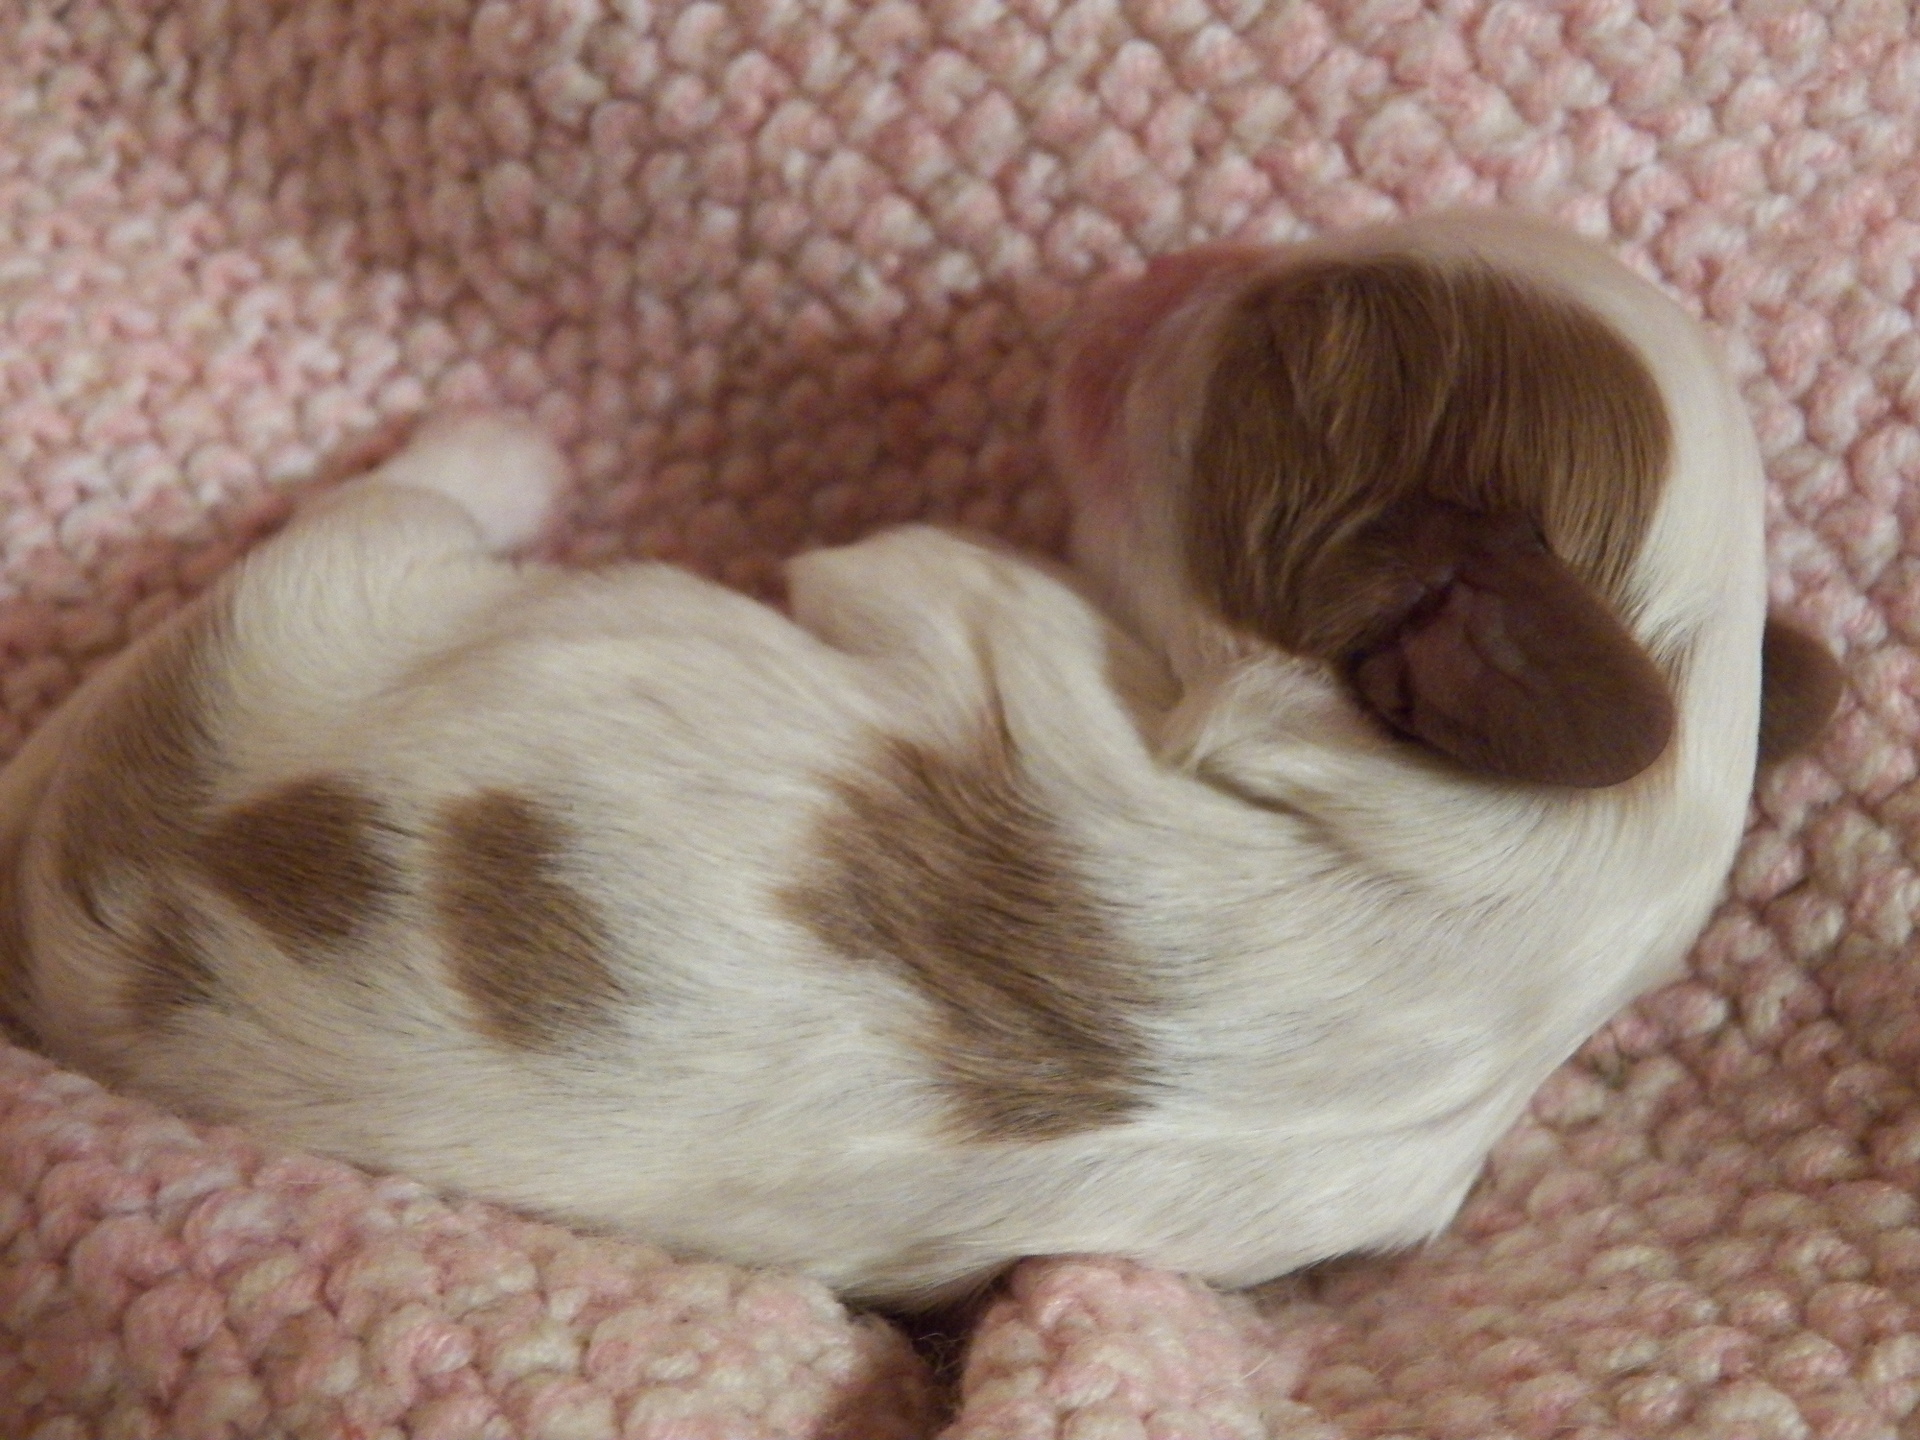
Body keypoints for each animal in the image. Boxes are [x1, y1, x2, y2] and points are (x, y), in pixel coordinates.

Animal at [0, 213, 1838, 1306]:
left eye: (1292, 338)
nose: (1178, 248)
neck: (1527, 861)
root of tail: (93, 880)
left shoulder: (954, 592)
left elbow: (883, 565)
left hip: (314, 603)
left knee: (405, 502)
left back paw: (500, 441)